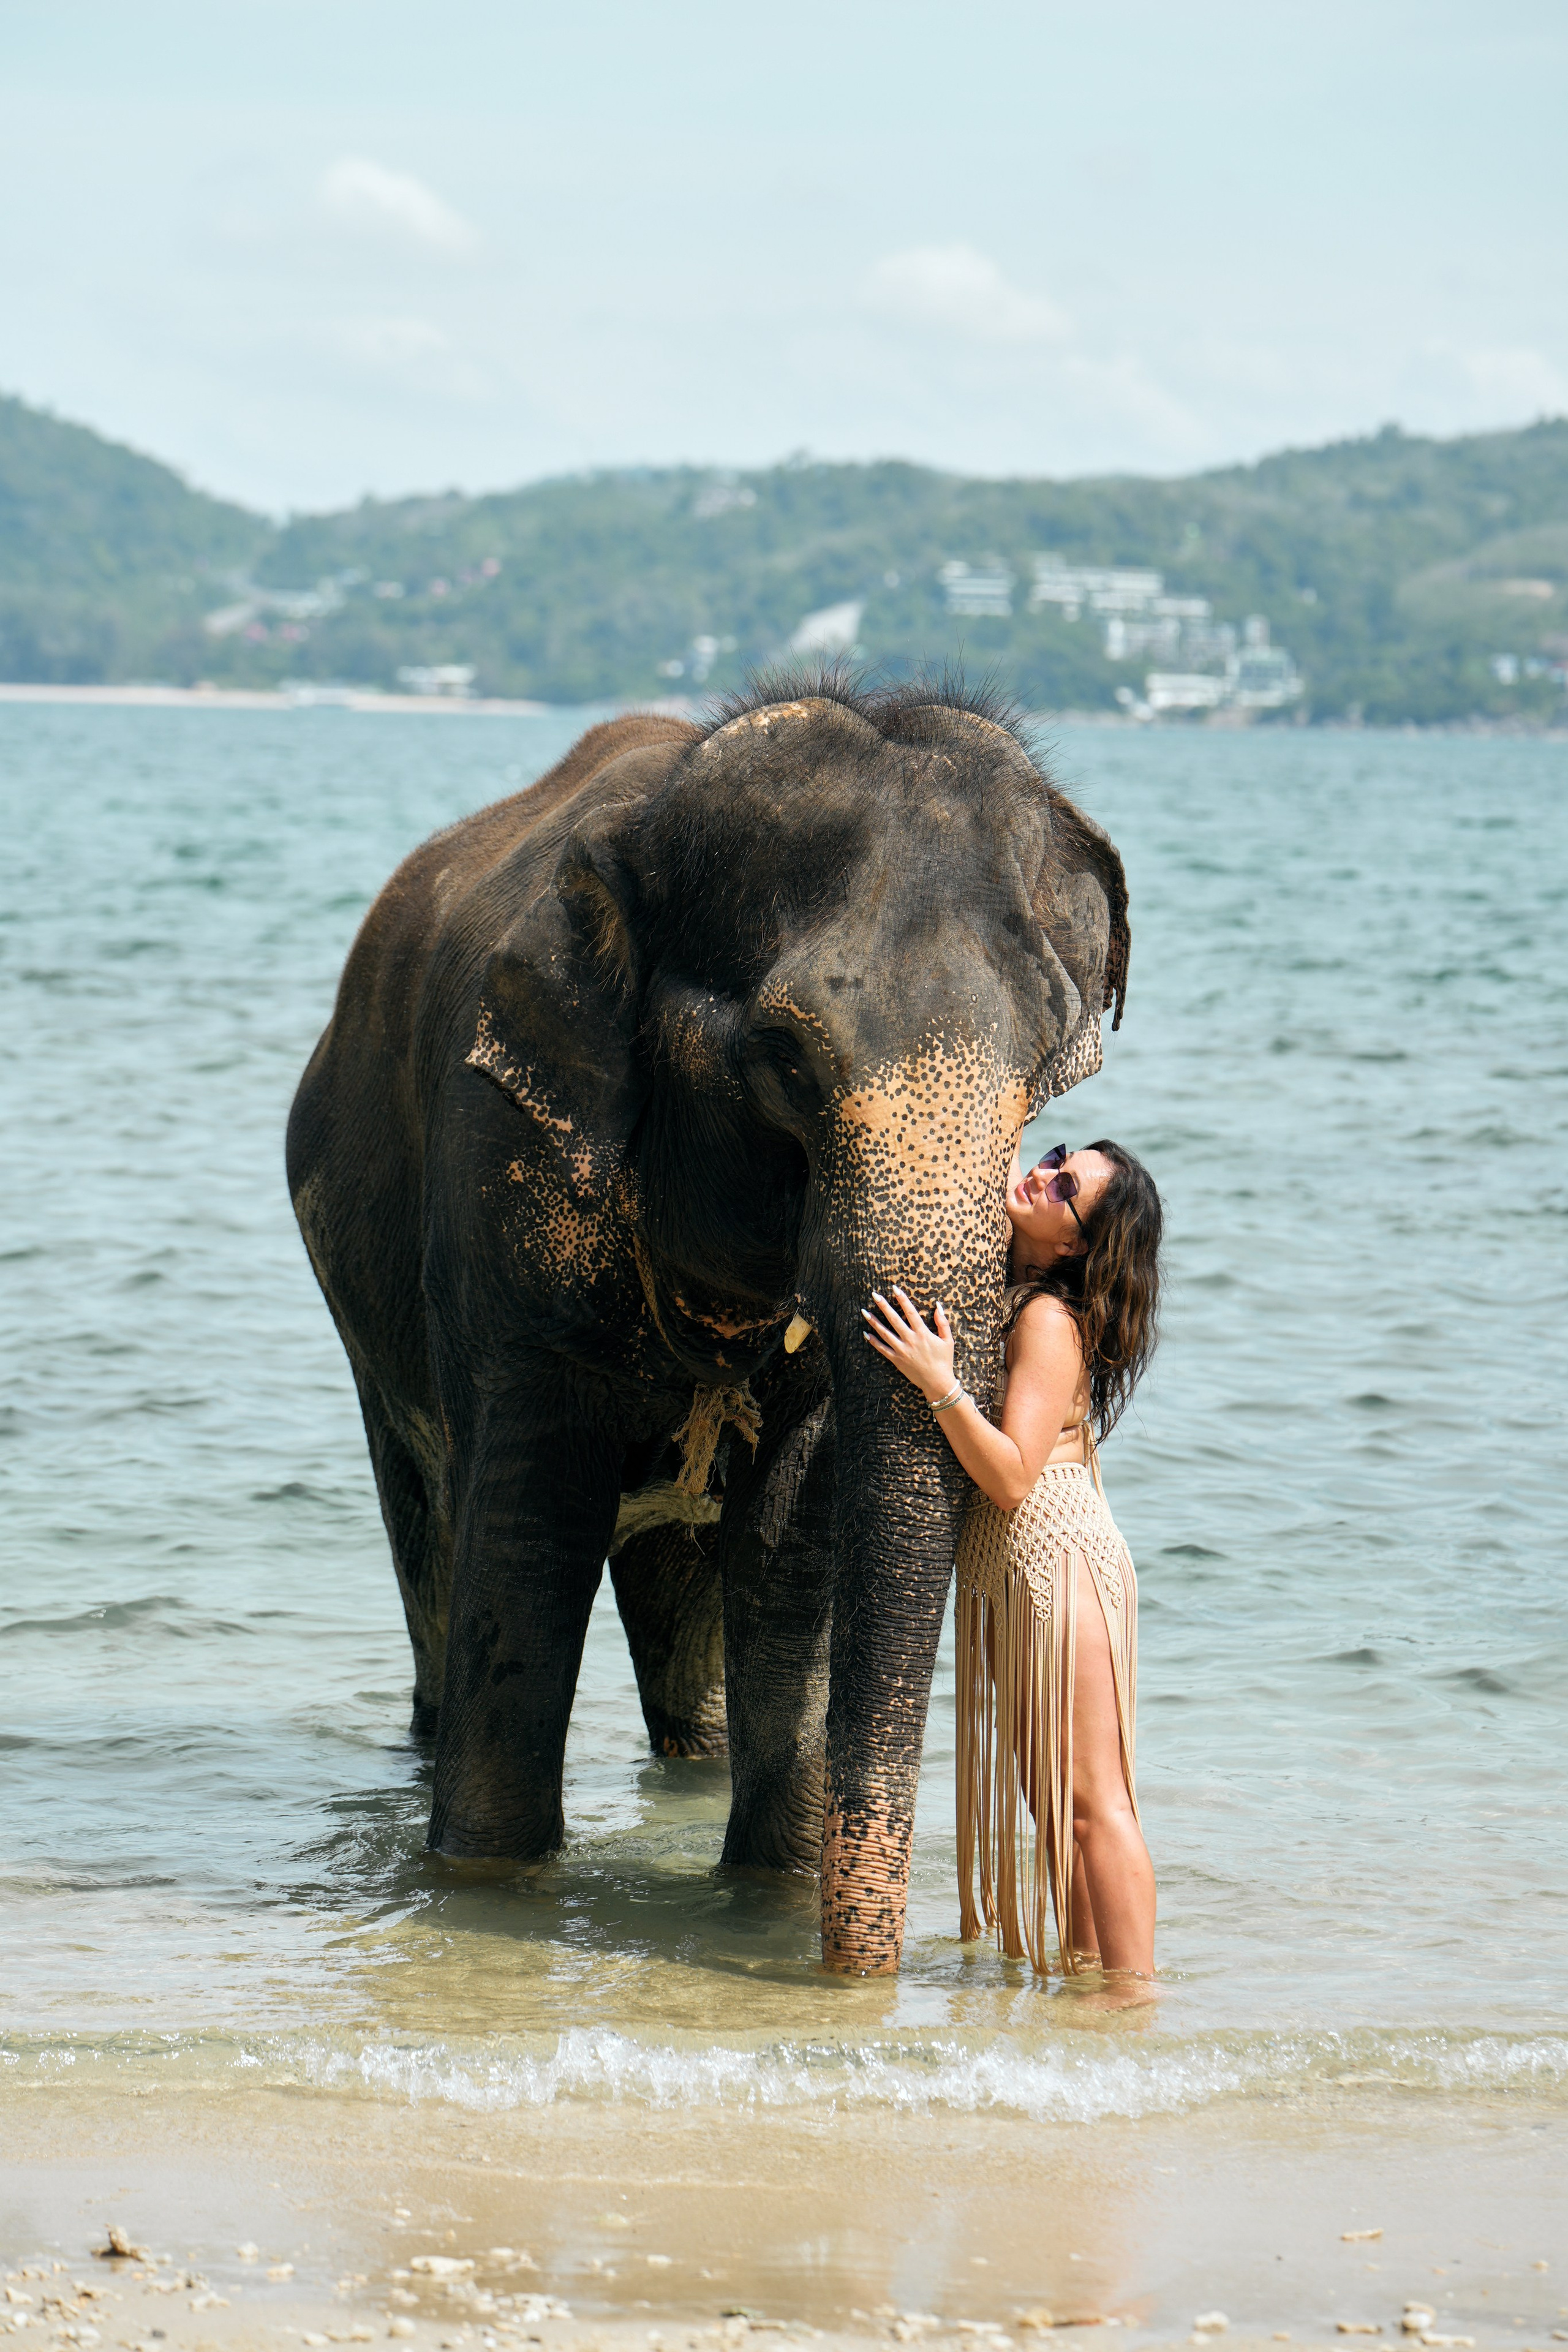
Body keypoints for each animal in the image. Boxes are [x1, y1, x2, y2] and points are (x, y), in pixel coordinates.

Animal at [286, 678, 1129, 1975]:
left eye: (1042, 1064)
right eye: (784, 1059)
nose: (862, 1981)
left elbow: (791, 1544)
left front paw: (768, 1891)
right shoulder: (502, 1183)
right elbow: (526, 1535)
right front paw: (484, 1884)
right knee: (433, 1542)